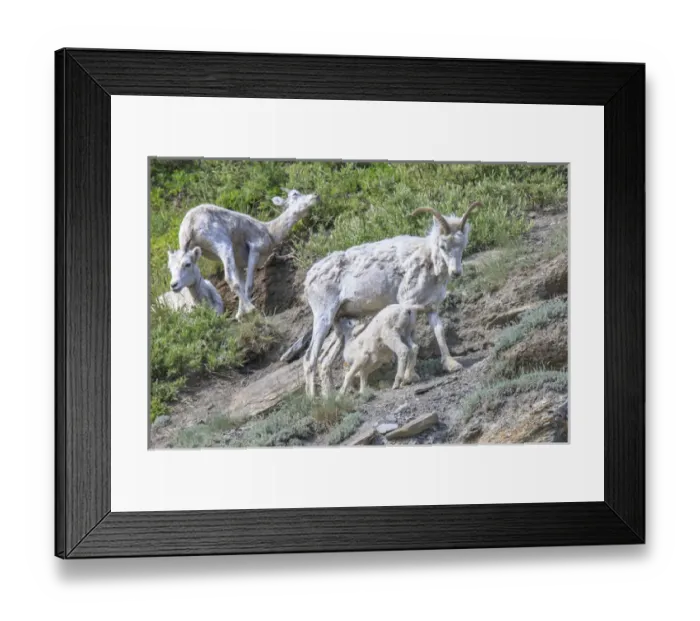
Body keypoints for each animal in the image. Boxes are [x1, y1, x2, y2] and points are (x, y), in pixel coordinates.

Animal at [177, 188, 318, 319]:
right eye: (295, 194)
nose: (315, 196)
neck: (270, 232)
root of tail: (189, 226)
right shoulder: (255, 250)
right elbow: (249, 285)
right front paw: (247, 313)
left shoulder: (239, 264)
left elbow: (242, 284)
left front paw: (240, 314)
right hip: (223, 244)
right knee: (229, 278)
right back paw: (252, 309)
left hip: (187, 251)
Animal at [301, 201, 481, 396]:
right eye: (443, 246)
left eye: (462, 245)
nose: (456, 272)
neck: (427, 262)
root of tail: (309, 277)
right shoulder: (408, 302)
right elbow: (412, 337)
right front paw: (410, 377)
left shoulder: (431, 306)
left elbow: (439, 332)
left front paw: (451, 365)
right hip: (323, 316)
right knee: (310, 358)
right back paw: (313, 398)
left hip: (339, 322)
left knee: (324, 360)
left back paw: (330, 396)